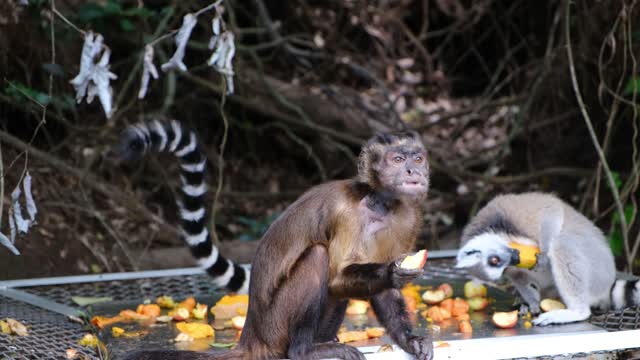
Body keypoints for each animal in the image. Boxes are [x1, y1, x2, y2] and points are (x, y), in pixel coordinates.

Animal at [125, 131, 432, 360]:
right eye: (398, 159)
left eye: (418, 158)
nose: (413, 170)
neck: (379, 203)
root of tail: (252, 335)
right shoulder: (346, 213)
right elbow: (336, 277)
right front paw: (391, 271)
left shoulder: (409, 216)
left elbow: (384, 292)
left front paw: (411, 339)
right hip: (275, 327)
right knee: (317, 256)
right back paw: (303, 350)